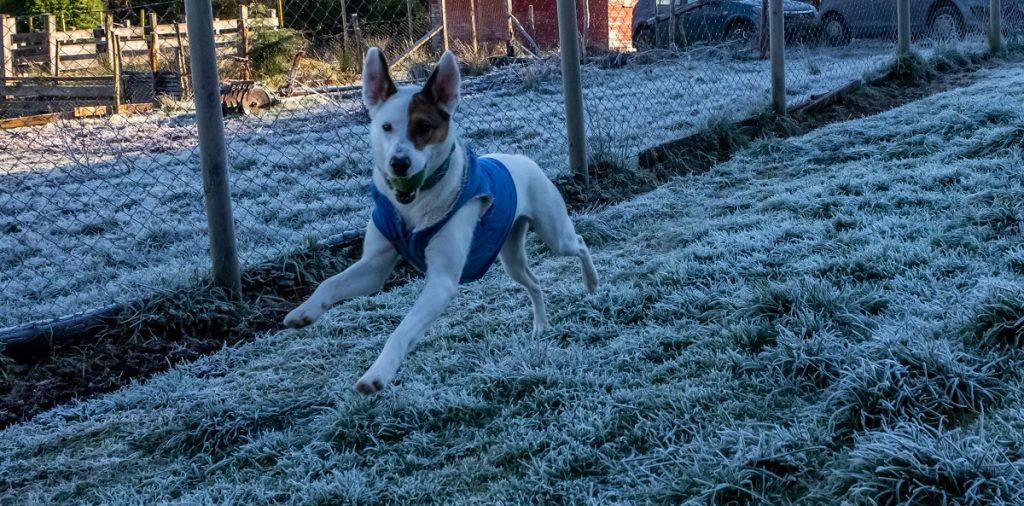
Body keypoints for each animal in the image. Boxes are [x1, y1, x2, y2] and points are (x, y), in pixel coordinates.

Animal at [284, 48, 598, 395]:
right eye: (386, 127)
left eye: (424, 127)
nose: (399, 163)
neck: (414, 206)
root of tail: (522, 158)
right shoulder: (374, 267)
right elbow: (331, 283)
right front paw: (305, 311)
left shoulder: (441, 281)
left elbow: (402, 330)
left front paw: (378, 373)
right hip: (511, 255)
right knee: (534, 282)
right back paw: (541, 325)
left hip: (554, 232)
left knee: (579, 244)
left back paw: (591, 283)